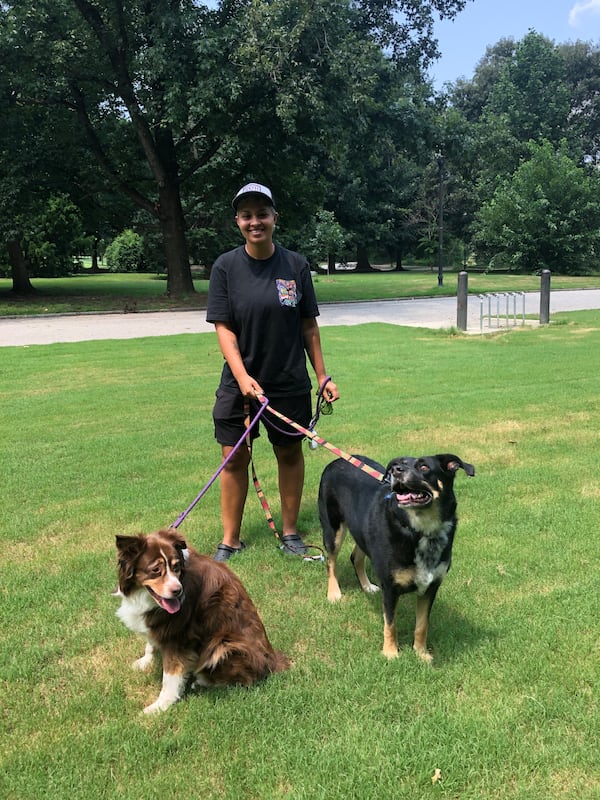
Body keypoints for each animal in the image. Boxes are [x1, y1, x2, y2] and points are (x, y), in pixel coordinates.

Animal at [115, 532, 290, 712]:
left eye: (176, 567)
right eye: (156, 570)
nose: (178, 591)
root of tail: (274, 662)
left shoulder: (178, 635)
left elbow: (170, 676)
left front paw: (159, 707)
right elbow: (150, 643)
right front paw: (145, 661)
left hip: (223, 645)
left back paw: (200, 681)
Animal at [316, 454, 476, 664]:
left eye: (424, 467)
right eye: (399, 464)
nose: (396, 471)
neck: (421, 530)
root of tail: (336, 461)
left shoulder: (431, 587)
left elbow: (422, 625)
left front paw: (421, 653)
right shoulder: (390, 588)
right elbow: (390, 624)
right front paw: (391, 653)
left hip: (361, 531)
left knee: (355, 557)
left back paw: (366, 586)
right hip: (333, 528)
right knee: (331, 562)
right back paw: (334, 592)